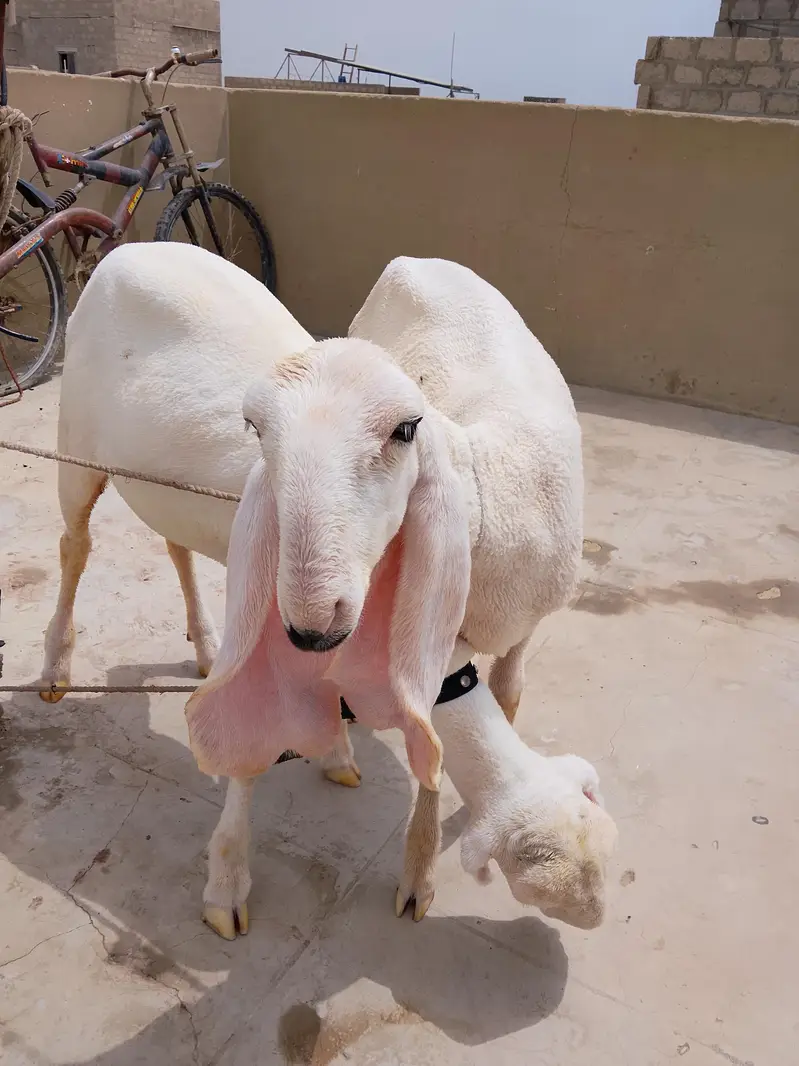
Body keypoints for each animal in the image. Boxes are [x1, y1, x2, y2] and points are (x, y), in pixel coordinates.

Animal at [39, 242, 608, 940]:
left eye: (406, 428)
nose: (311, 621)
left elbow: (482, 712)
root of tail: (129, 246)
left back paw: (205, 647)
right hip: (75, 448)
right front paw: (227, 889)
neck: (487, 489)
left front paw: (411, 854)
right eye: (254, 427)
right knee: (74, 545)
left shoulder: (504, 634)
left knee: (174, 545)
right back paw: (56, 668)